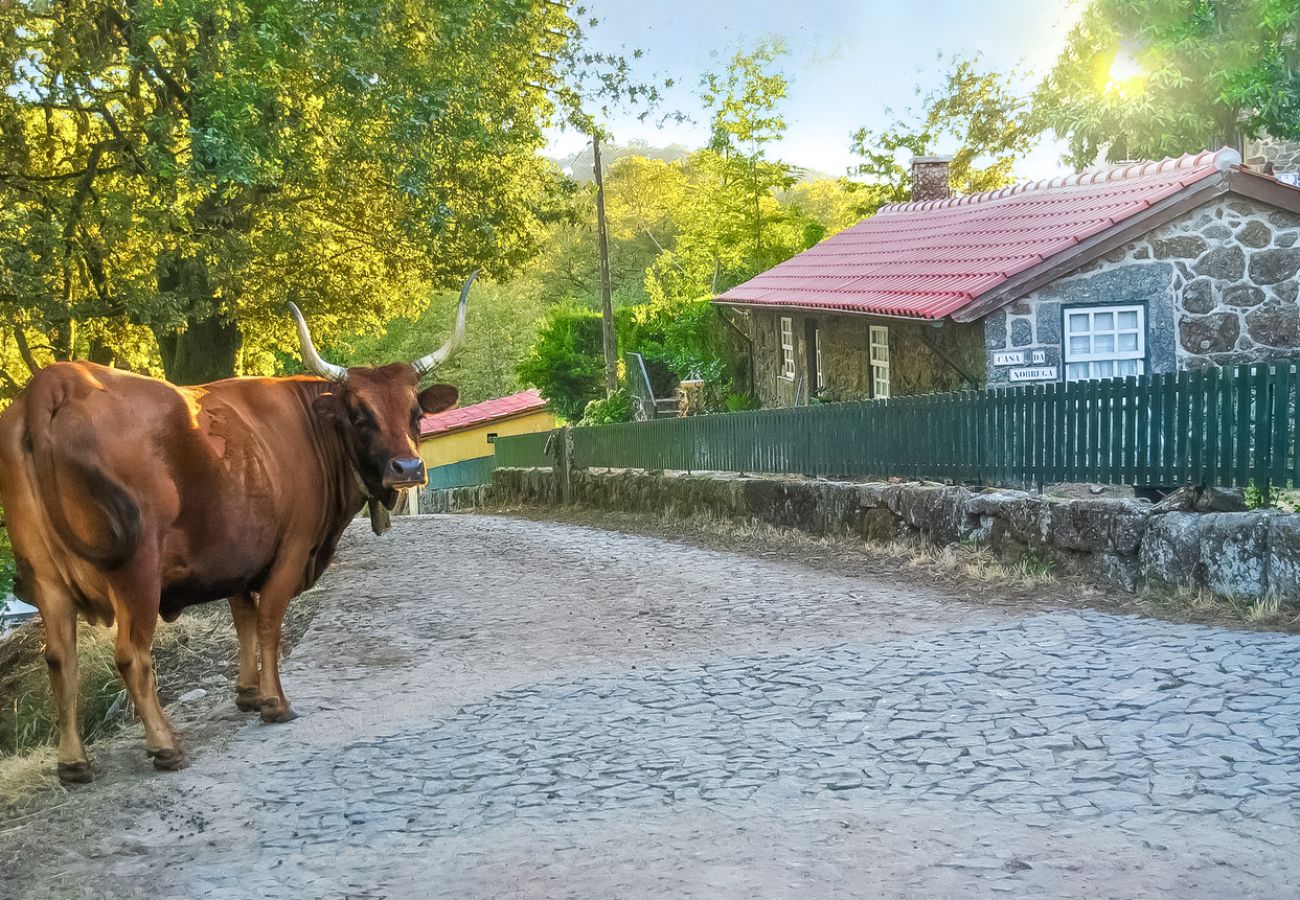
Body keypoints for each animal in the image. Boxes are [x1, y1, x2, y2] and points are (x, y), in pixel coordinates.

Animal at [0, 271, 478, 780]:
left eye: (416, 413)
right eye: (359, 415)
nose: (407, 468)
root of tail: (52, 383)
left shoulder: (239, 552)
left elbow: (243, 618)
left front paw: (247, 694)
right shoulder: (291, 549)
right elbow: (268, 623)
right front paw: (274, 702)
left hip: (44, 575)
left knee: (60, 659)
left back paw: (73, 763)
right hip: (136, 571)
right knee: (132, 655)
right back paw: (165, 745)